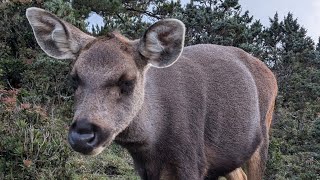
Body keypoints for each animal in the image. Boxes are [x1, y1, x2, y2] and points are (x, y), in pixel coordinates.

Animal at [26, 7, 278, 180]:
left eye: (127, 81)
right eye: (74, 78)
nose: (83, 135)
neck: (153, 142)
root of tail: (271, 74)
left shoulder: (191, 162)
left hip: (262, 141)